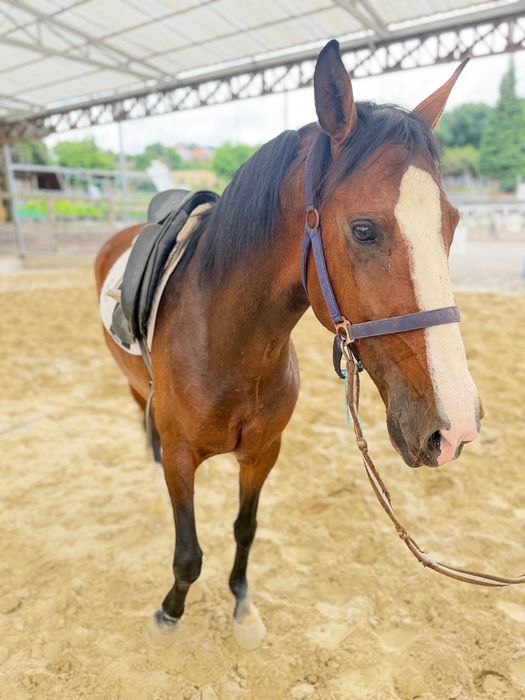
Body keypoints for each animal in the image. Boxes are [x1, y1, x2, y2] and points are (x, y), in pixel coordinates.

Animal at [95, 40, 481, 647]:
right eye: (364, 229)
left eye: (452, 222)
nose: (457, 424)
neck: (227, 345)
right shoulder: (182, 457)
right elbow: (188, 553)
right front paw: (170, 612)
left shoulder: (263, 454)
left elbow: (245, 530)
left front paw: (242, 605)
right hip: (135, 387)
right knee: (143, 413)